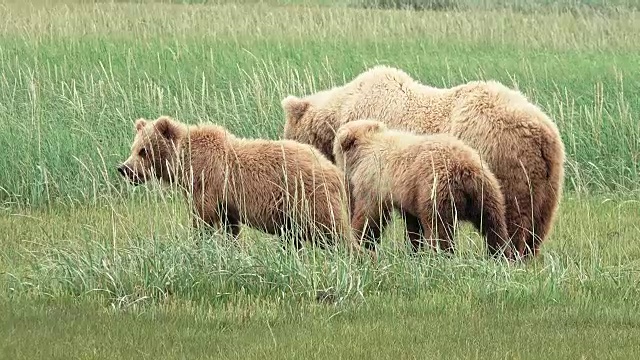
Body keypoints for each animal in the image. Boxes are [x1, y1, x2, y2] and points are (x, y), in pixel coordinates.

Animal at [117, 116, 358, 252]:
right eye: (133, 147)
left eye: (143, 151)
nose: (124, 169)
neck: (185, 163)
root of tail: (334, 170)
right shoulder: (226, 204)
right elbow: (230, 227)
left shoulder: (208, 183)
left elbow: (202, 217)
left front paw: (199, 244)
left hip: (310, 198)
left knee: (333, 231)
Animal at [332, 120, 512, 258]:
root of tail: (465, 169)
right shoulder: (408, 194)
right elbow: (412, 223)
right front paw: (412, 249)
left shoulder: (374, 180)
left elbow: (369, 215)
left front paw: (359, 238)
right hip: (487, 192)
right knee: (493, 226)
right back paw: (501, 255)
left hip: (436, 192)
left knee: (438, 229)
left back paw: (441, 256)